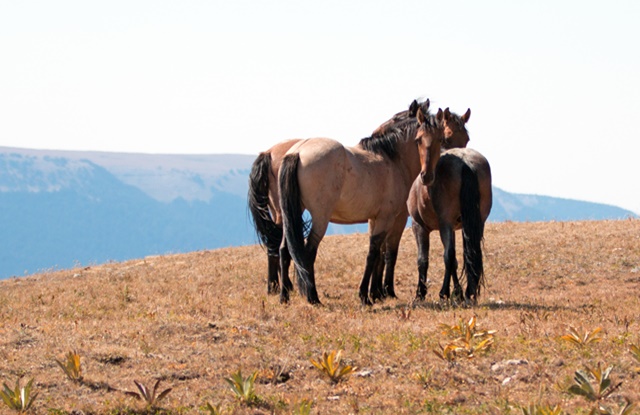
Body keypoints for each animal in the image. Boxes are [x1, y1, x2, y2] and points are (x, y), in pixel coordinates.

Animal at [248, 99, 432, 298]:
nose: (374, 132)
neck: (392, 161)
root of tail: (295, 152)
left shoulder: (376, 218)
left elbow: (379, 253)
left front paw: (375, 292)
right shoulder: (393, 218)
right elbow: (384, 252)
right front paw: (382, 292)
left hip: (285, 214)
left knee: (282, 249)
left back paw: (282, 293)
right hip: (319, 217)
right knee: (306, 252)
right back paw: (310, 296)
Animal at [408, 147, 492, 306]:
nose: (425, 176)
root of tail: (466, 163)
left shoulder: (419, 226)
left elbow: (423, 260)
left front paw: (420, 294)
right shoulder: (452, 228)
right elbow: (455, 262)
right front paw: (458, 293)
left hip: (444, 225)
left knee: (449, 255)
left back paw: (444, 293)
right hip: (476, 223)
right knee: (470, 253)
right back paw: (469, 293)